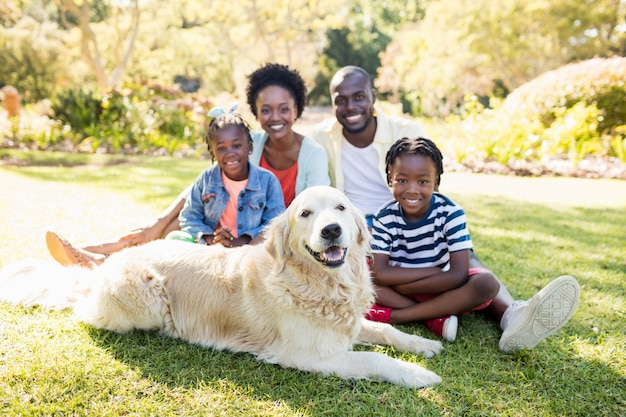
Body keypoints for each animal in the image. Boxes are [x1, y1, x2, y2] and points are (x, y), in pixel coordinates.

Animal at [1, 185, 438, 386]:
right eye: (305, 214)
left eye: (341, 208)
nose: (331, 230)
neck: (319, 284)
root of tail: (105, 266)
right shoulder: (309, 356)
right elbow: (374, 360)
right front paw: (418, 375)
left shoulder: (345, 325)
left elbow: (384, 329)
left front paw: (423, 345)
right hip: (143, 300)